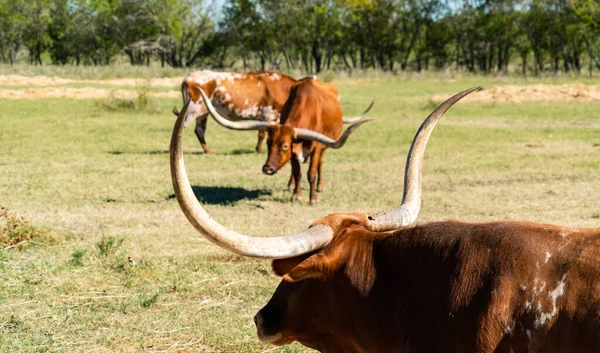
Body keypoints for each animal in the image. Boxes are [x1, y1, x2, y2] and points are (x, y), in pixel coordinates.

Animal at [198, 76, 376, 204]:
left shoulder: (316, 147)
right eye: (269, 143)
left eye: (284, 146)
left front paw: (313, 198)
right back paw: (291, 185)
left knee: (321, 164)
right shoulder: (295, 151)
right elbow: (297, 173)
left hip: (325, 146)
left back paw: (321, 186)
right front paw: (296, 195)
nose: (267, 169)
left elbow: (311, 173)